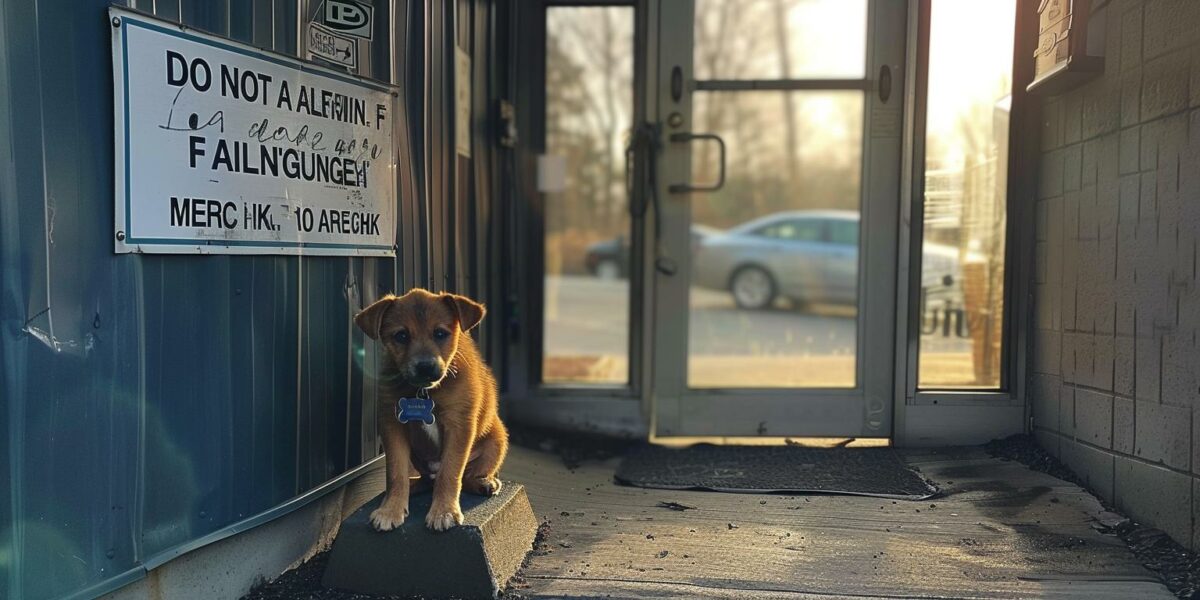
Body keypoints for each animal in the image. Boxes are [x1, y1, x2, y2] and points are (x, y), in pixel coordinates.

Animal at [352, 288, 508, 532]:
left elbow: (451, 473)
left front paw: (444, 511)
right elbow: (395, 473)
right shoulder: (392, 425)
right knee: (425, 480)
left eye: (440, 333)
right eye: (401, 336)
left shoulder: (459, 425)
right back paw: (412, 487)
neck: (424, 392)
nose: (425, 367)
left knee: (467, 476)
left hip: (497, 440)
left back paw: (484, 483)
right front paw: (391, 509)